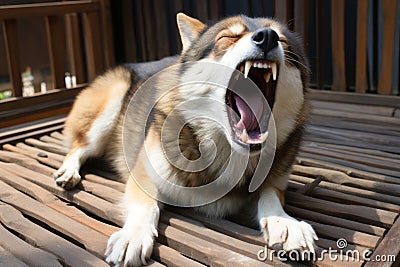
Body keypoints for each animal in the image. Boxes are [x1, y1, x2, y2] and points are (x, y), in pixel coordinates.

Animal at [54, 12, 318, 266]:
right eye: (227, 38)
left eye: (282, 40)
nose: (267, 37)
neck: (226, 149)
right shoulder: (144, 173)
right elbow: (145, 205)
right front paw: (134, 234)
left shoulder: (275, 181)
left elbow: (270, 194)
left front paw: (285, 223)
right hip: (108, 108)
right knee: (79, 146)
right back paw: (68, 171)